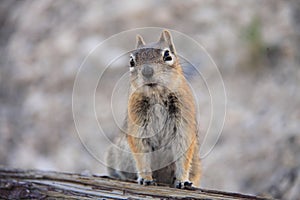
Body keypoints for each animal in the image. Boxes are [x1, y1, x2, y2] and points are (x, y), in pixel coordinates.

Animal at [105, 30, 202, 189]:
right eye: (131, 61)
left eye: (168, 55)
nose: (147, 72)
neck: (157, 95)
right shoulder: (138, 125)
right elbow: (141, 154)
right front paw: (145, 179)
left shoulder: (183, 124)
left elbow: (182, 154)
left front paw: (182, 180)